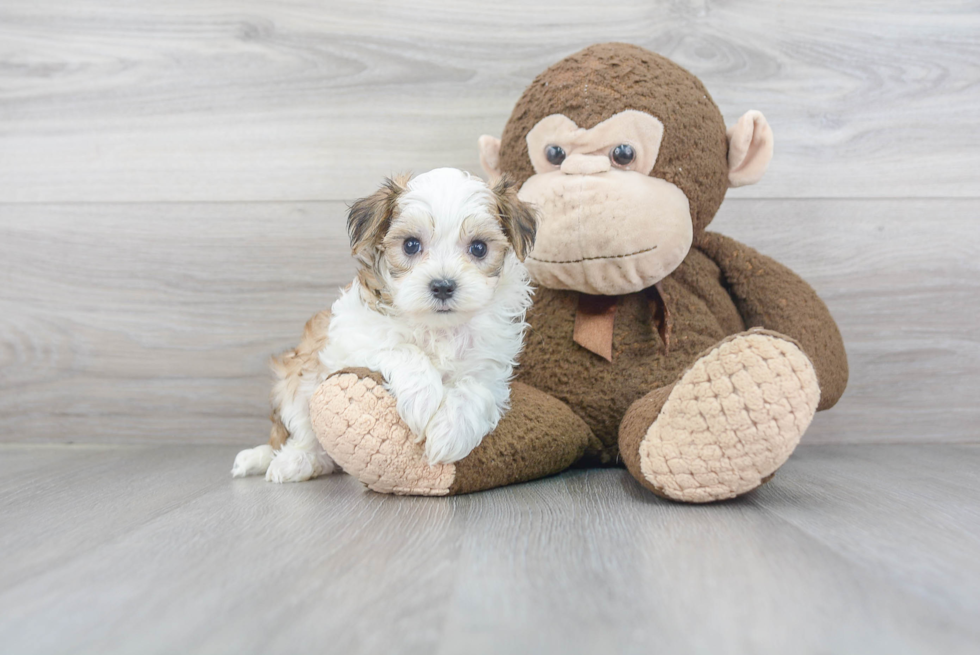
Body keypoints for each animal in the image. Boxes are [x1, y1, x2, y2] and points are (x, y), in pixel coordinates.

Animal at [231, 167, 536, 484]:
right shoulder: (352, 337)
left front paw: (451, 431)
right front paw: (424, 400)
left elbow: (475, 388)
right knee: (304, 433)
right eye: (411, 245)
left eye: (479, 248)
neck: (437, 328)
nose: (442, 286)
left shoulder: (490, 364)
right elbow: (401, 348)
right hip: (297, 380)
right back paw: (292, 461)